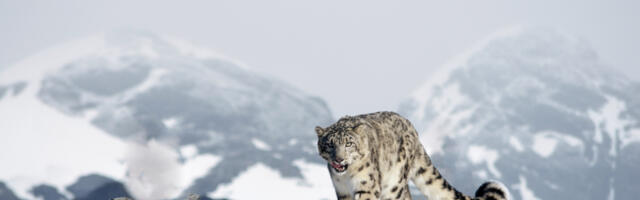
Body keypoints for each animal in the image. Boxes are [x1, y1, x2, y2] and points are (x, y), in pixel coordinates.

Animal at [316, 111, 510, 199]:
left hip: (394, 185)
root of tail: (414, 131)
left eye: (349, 144)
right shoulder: (342, 191)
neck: (346, 176)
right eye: (329, 144)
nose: (339, 158)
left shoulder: (366, 186)